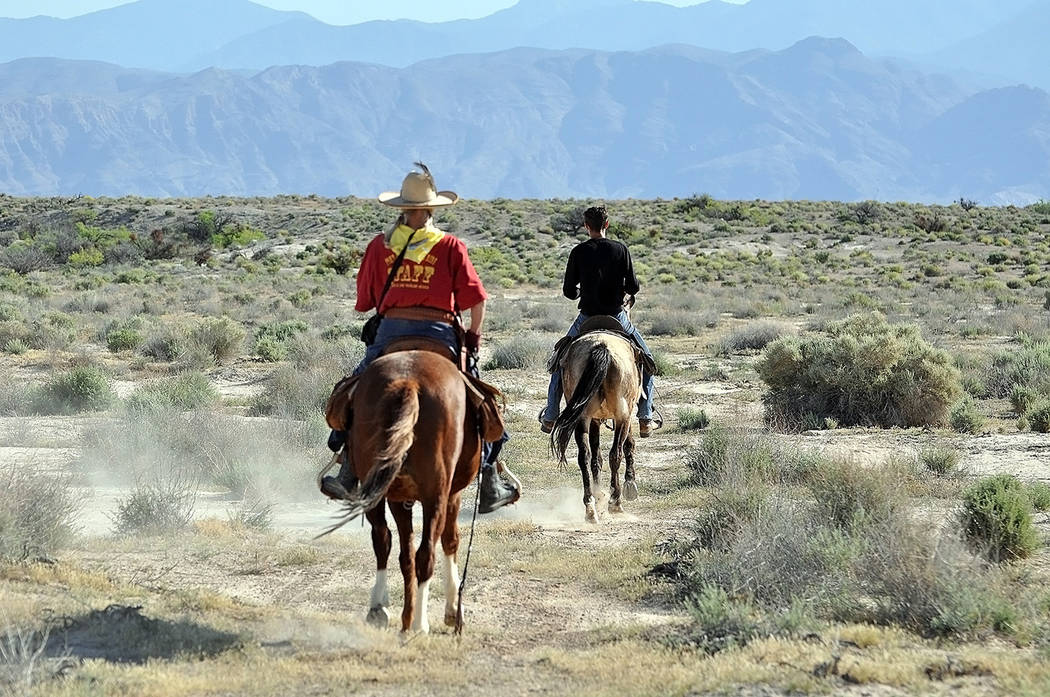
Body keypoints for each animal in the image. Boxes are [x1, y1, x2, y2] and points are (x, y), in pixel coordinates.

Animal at [319, 346, 499, 634]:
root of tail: (409, 383)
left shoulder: (399, 498)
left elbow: (403, 554)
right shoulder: (451, 495)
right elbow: (450, 540)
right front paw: (452, 611)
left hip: (383, 488)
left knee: (389, 544)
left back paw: (392, 615)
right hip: (434, 494)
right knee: (423, 553)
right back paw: (418, 625)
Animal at [546, 327, 642, 522]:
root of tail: (601, 346)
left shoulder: (595, 421)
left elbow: (596, 458)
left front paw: (599, 496)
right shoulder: (626, 416)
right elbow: (628, 445)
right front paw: (629, 484)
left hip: (582, 418)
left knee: (584, 456)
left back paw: (590, 508)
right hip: (621, 415)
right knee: (615, 454)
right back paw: (615, 502)